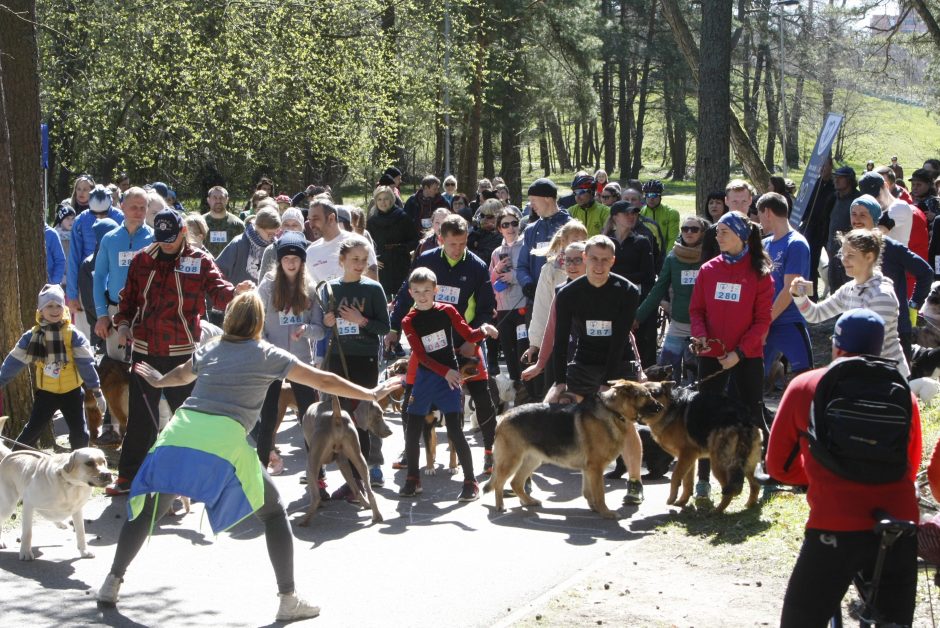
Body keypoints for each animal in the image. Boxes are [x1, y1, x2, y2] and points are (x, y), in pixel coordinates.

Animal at [0, 420, 112, 560]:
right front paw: (25, 552)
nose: (108, 474)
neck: (70, 484)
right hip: (8, 506)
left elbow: (81, 532)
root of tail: (9, 455)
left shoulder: (77, 510)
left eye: (104, 461)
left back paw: (60, 523)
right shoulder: (29, 504)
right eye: (89, 463)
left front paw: (84, 551)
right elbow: (27, 533)